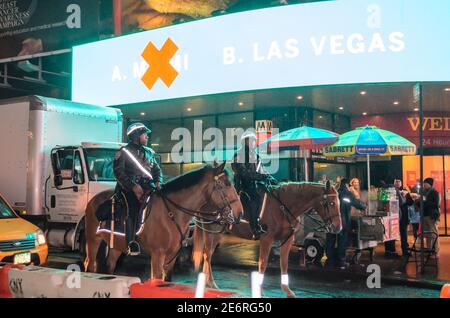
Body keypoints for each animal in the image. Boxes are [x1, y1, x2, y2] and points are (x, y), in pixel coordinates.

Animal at [82, 163, 243, 280]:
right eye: (227, 184)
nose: (239, 213)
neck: (171, 213)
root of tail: (93, 200)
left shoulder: (171, 258)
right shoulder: (157, 255)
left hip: (116, 245)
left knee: (110, 265)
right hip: (93, 240)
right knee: (89, 264)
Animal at [192, 181, 342, 298]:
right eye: (331, 203)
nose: (338, 227)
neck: (283, 207)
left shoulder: (287, 240)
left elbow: (284, 264)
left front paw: (287, 290)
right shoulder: (267, 239)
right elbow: (262, 264)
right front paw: (260, 290)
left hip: (219, 232)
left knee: (208, 254)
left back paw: (207, 282)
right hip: (211, 230)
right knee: (207, 254)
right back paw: (211, 282)